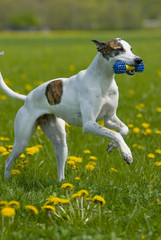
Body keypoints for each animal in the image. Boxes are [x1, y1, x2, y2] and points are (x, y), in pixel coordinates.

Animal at [0, 38, 142, 180]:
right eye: (119, 49)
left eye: (131, 49)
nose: (139, 60)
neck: (103, 80)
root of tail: (27, 98)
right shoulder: (89, 124)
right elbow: (115, 133)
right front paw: (127, 154)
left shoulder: (109, 118)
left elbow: (124, 130)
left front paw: (112, 146)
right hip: (22, 140)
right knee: (8, 161)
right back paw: (7, 180)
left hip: (60, 142)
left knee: (60, 168)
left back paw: (62, 183)